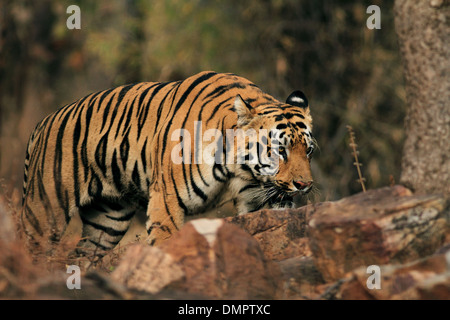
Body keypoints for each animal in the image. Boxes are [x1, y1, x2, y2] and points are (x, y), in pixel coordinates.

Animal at [22, 72, 316, 258]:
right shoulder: (166, 200)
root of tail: (42, 123)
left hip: (107, 221)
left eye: (308, 151)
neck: (239, 170)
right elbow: (168, 243)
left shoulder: (260, 201)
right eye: (280, 151)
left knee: (82, 256)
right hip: (44, 213)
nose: (304, 185)